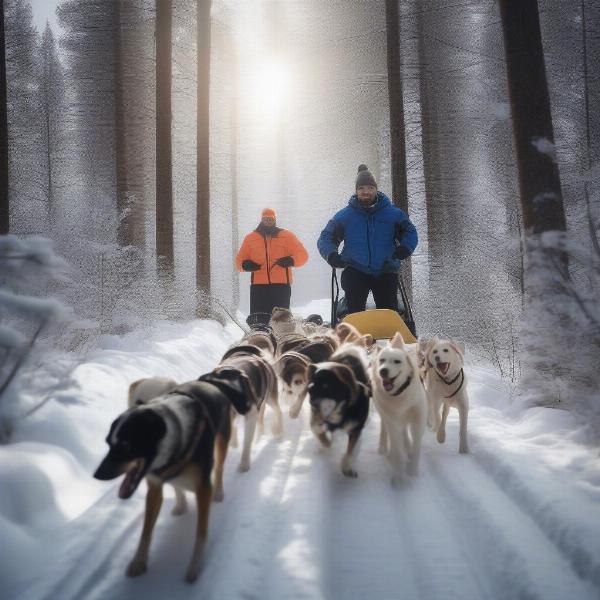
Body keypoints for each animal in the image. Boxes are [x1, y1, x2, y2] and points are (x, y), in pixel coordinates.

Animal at [94, 382, 232, 584]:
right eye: (108, 442)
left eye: (126, 444)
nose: (97, 474)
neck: (178, 434)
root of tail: (209, 383)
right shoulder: (155, 486)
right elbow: (145, 531)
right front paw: (138, 562)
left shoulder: (203, 488)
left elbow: (201, 533)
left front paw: (195, 566)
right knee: (176, 484)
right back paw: (180, 504)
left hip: (222, 443)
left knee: (220, 468)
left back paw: (219, 492)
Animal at [310, 342, 370, 478]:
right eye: (310, 390)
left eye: (326, 388)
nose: (312, 405)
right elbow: (321, 435)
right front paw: (325, 446)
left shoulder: (356, 429)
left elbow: (351, 450)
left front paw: (347, 466)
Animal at [370, 332, 426, 482]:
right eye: (382, 360)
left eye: (397, 361)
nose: (383, 371)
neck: (399, 395)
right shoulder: (392, 421)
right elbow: (396, 448)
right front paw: (399, 474)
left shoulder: (418, 420)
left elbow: (417, 446)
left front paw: (412, 469)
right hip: (386, 416)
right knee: (386, 429)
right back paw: (383, 447)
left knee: (404, 431)